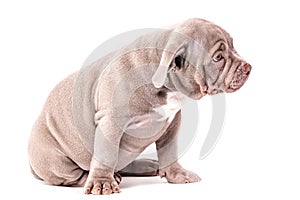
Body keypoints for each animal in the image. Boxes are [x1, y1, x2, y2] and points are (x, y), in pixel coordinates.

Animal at [28, 18, 251, 195]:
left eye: (234, 47)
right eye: (218, 58)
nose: (248, 67)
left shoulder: (172, 122)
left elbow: (169, 151)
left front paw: (177, 174)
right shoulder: (110, 122)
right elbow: (106, 154)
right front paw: (102, 183)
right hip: (54, 158)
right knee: (73, 175)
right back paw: (102, 178)